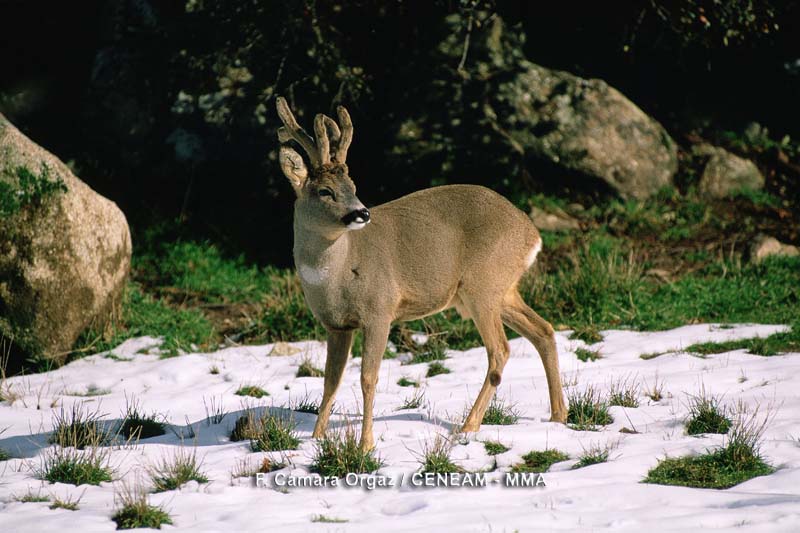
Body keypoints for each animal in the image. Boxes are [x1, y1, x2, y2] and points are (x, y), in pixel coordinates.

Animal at [276, 96, 568, 448]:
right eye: (325, 191)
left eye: (353, 185)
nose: (362, 213)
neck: (335, 277)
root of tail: (532, 234)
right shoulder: (336, 325)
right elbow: (330, 380)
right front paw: (317, 438)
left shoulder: (380, 310)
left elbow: (368, 377)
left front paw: (365, 444)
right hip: (502, 290)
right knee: (544, 330)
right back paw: (558, 416)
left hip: (483, 285)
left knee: (500, 349)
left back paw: (468, 426)